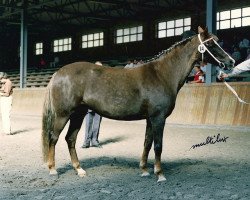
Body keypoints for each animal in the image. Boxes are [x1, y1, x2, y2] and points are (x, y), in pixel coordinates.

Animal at [41, 27, 234, 182]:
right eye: (211, 44)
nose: (231, 62)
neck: (161, 74)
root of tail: (58, 73)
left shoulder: (150, 118)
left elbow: (147, 143)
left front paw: (144, 170)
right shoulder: (158, 118)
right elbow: (158, 145)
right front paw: (160, 174)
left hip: (78, 114)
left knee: (70, 139)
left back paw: (79, 169)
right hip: (63, 115)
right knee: (53, 137)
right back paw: (53, 170)